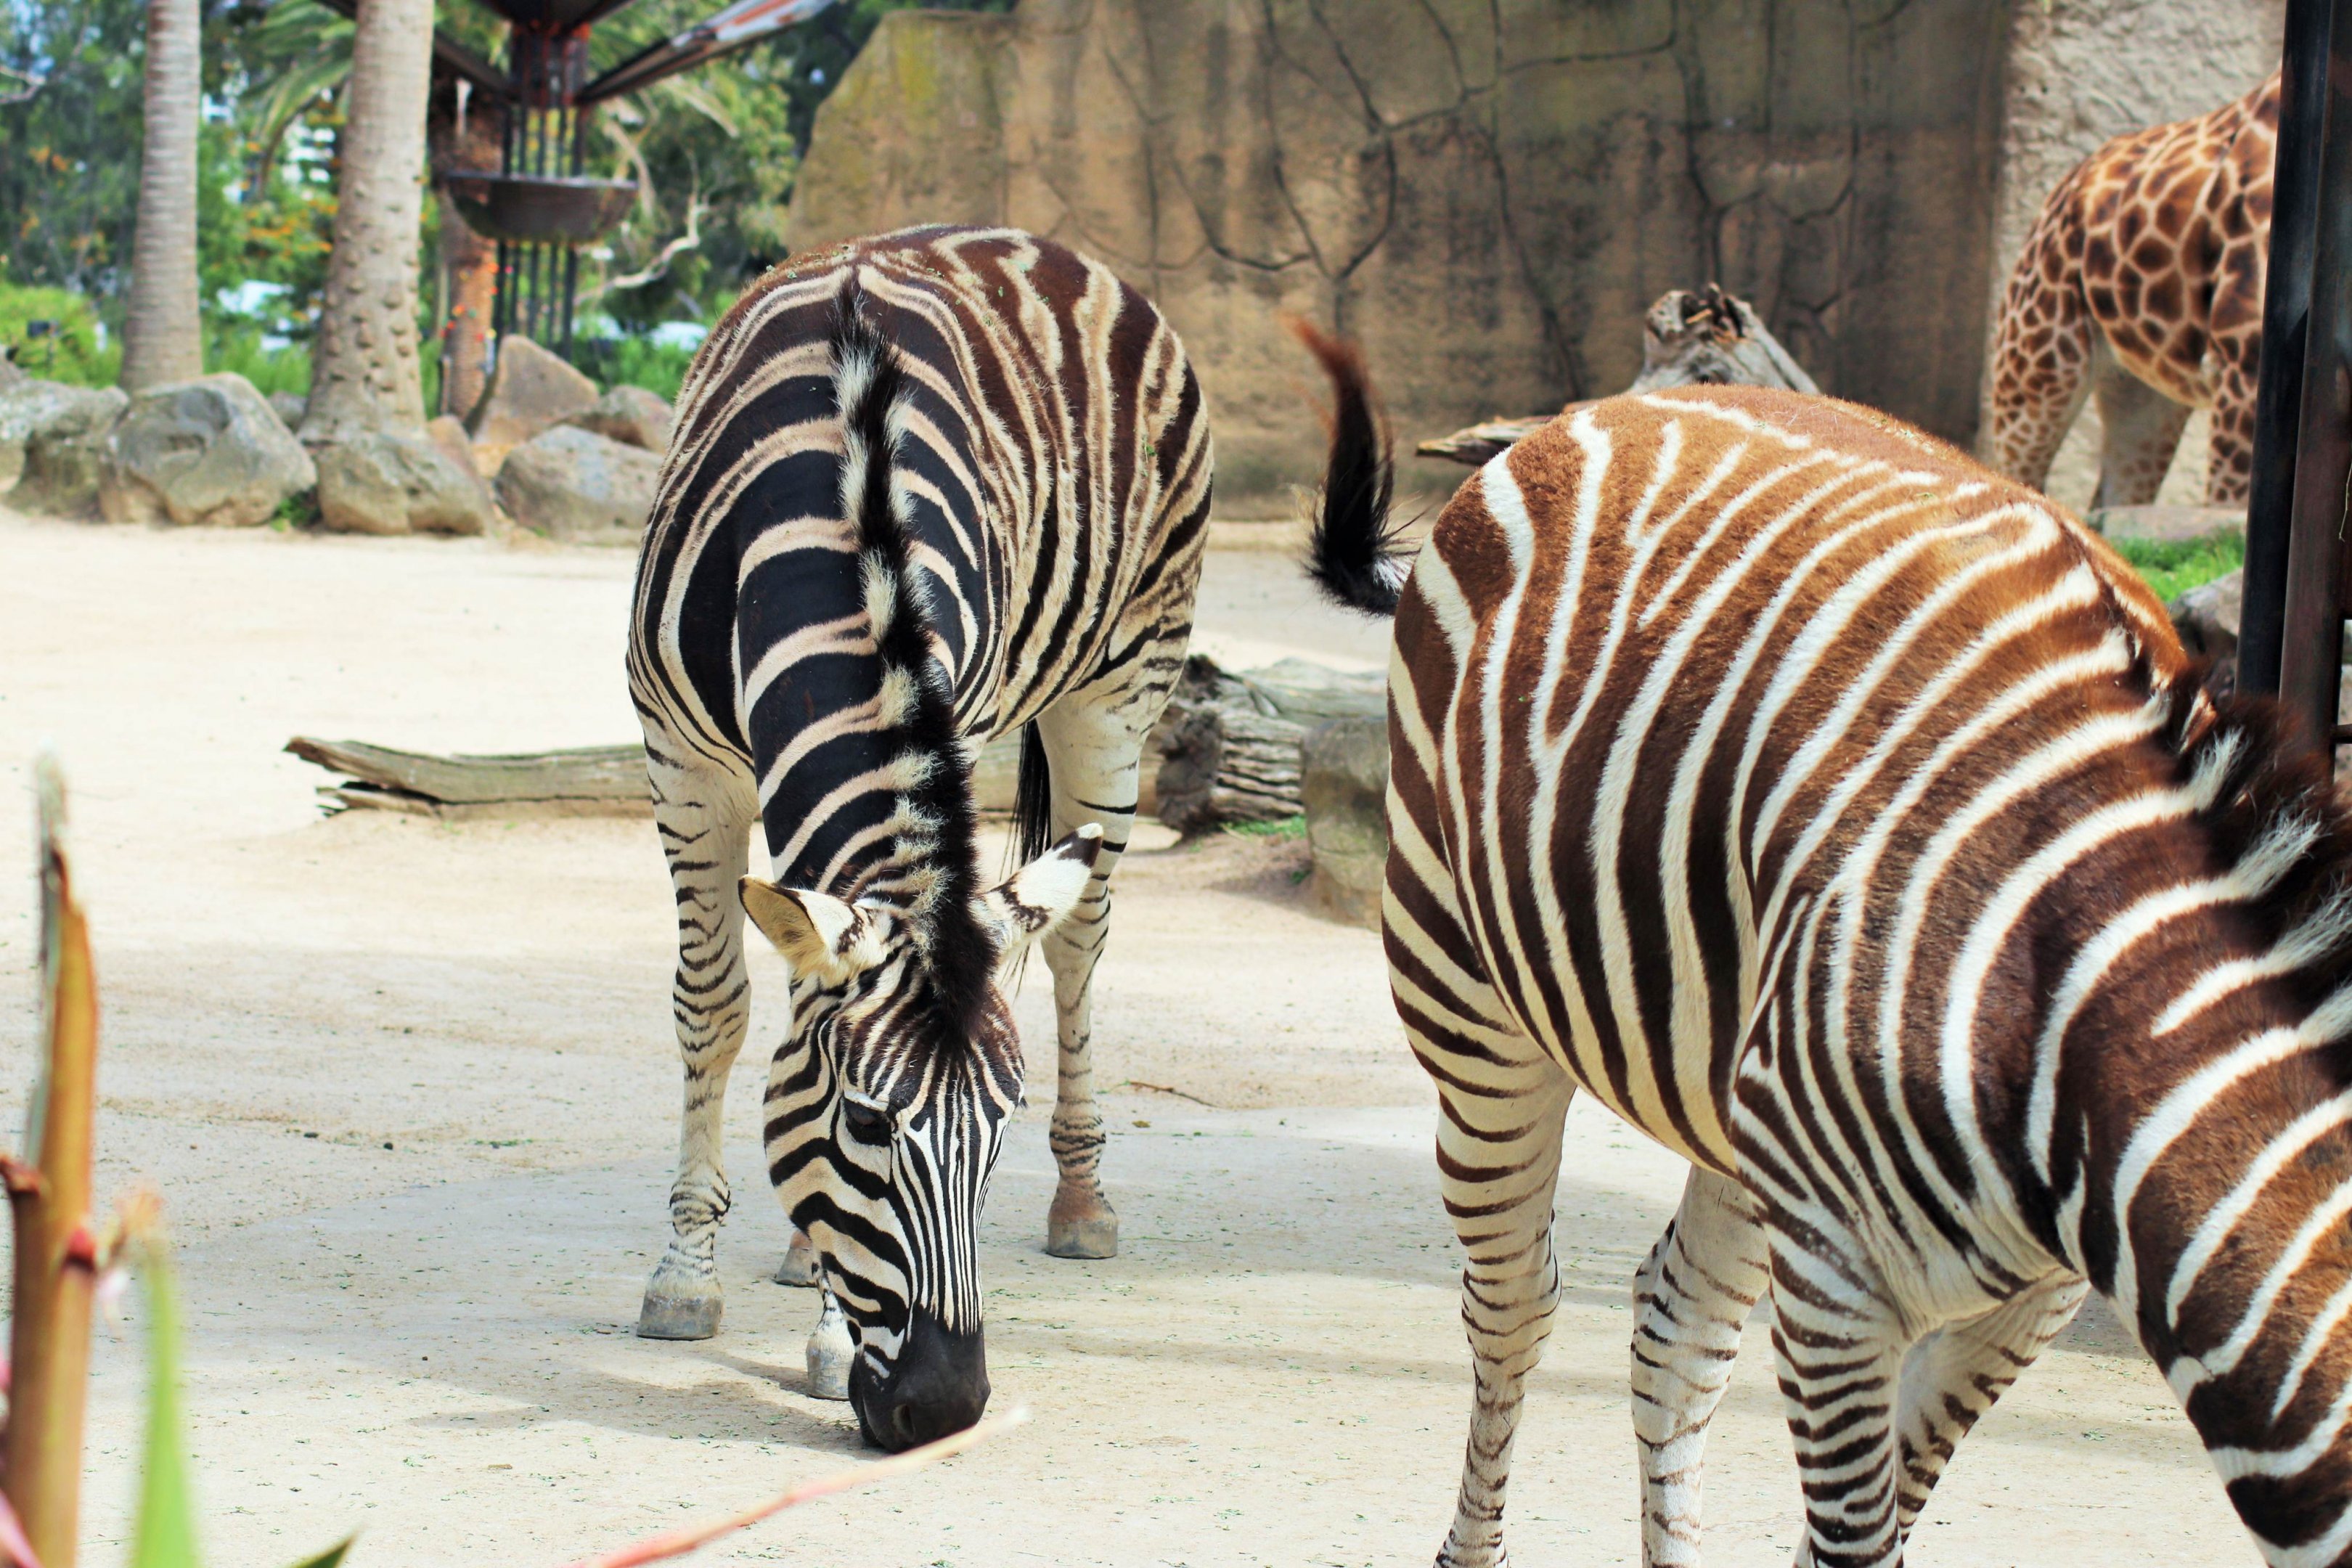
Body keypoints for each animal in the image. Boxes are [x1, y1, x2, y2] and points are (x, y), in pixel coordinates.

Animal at [627, 226, 1213, 1451]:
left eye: (999, 1125)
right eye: (862, 1120)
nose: (946, 1407)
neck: (835, 503)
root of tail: (1050, 245)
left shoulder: (959, 725)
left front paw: (824, 1334)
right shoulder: (681, 760)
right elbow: (716, 1009)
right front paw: (688, 1276)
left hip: (1122, 686)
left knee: (1077, 944)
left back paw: (1082, 1202)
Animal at [1299, 329, 2352, 1566]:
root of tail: (1589, 414)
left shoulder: (2025, 1299)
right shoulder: (1839, 1277)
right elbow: (1855, 1539)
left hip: (1734, 1094)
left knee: (1673, 1324)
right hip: (1465, 996)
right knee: (1516, 1305)